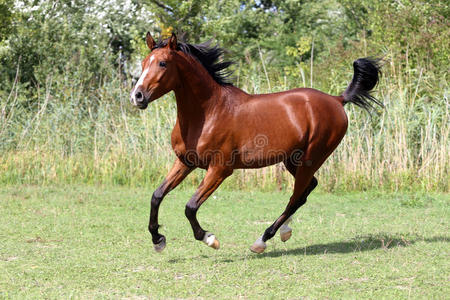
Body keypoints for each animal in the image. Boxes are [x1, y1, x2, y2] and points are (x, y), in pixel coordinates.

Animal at [128, 32, 382, 253]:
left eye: (163, 63)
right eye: (143, 62)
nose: (137, 96)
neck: (208, 112)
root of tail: (337, 100)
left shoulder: (220, 170)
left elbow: (190, 207)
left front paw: (209, 238)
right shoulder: (185, 162)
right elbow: (156, 195)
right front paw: (158, 240)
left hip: (312, 158)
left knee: (296, 196)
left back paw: (262, 240)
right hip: (293, 161)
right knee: (306, 190)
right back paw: (284, 231)